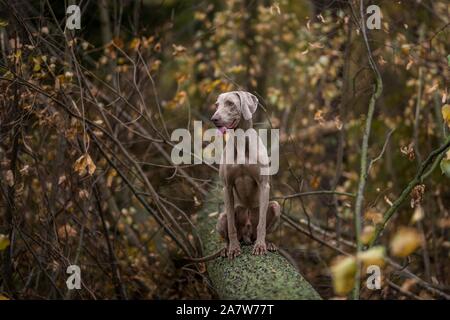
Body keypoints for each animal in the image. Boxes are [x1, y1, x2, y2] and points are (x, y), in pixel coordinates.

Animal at [210, 91, 278, 258]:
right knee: (227, 227)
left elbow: (261, 224)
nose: (214, 119)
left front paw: (260, 246)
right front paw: (233, 249)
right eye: (217, 105)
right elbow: (231, 226)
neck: (240, 142)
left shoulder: (264, 185)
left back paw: (268, 243)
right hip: (221, 217)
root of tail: (247, 235)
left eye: (230, 103)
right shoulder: (227, 187)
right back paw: (226, 248)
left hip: (275, 207)